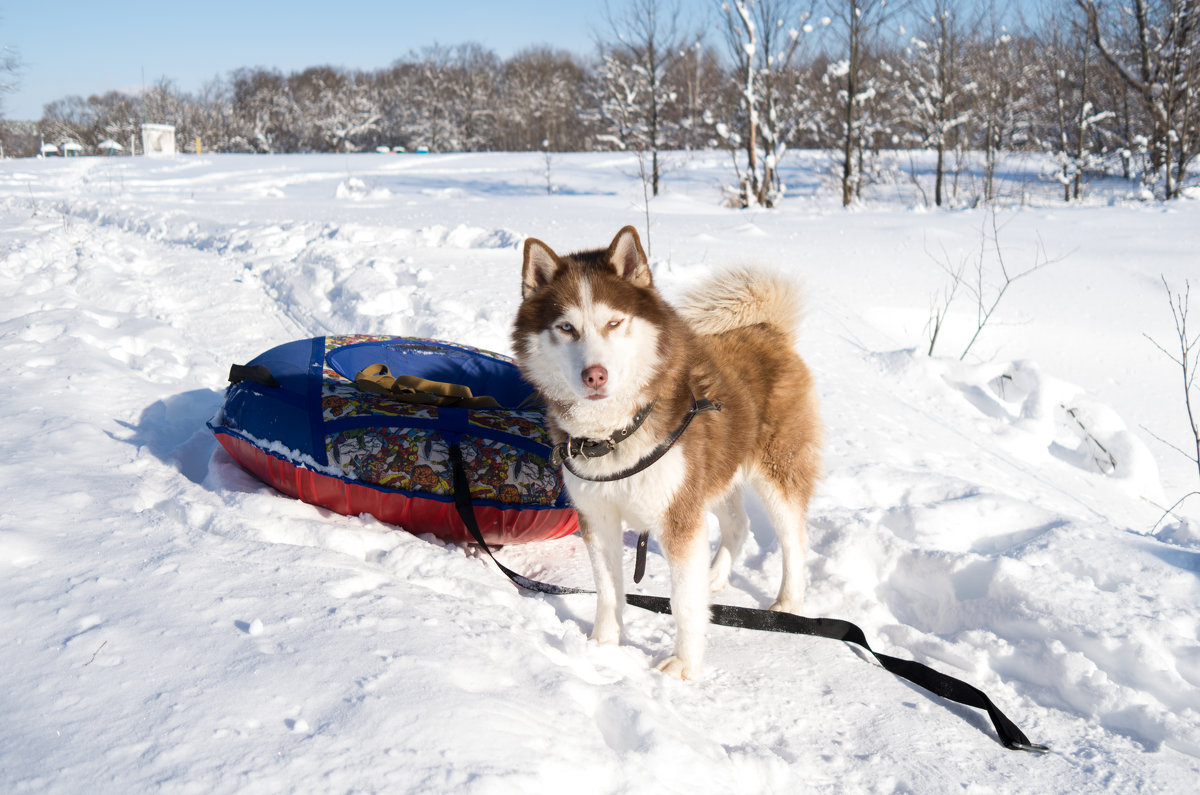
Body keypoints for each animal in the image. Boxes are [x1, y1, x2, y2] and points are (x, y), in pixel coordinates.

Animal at [511, 224, 820, 677]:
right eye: (566, 328)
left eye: (614, 322)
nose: (594, 375)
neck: (614, 433)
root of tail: (767, 329)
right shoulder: (598, 518)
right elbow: (608, 589)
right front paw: (602, 646)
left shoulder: (678, 519)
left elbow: (684, 603)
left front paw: (684, 667)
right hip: (713, 474)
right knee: (738, 525)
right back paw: (714, 577)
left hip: (776, 472)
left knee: (793, 540)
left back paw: (788, 603)